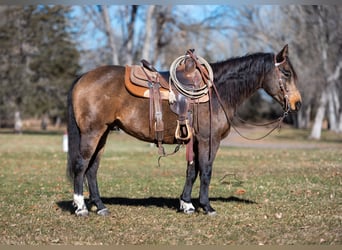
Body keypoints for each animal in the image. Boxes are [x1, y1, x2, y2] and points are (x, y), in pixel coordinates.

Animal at [67, 45, 302, 217]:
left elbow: (192, 171)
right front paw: (207, 206)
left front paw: (187, 204)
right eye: (287, 72)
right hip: (92, 132)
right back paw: (81, 207)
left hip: (104, 133)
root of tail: (83, 77)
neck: (216, 92)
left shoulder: (195, 141)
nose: (297, 103)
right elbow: (206, 171)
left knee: (92, 169)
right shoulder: (209, 140)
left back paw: (100, 206)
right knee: (81, 165)